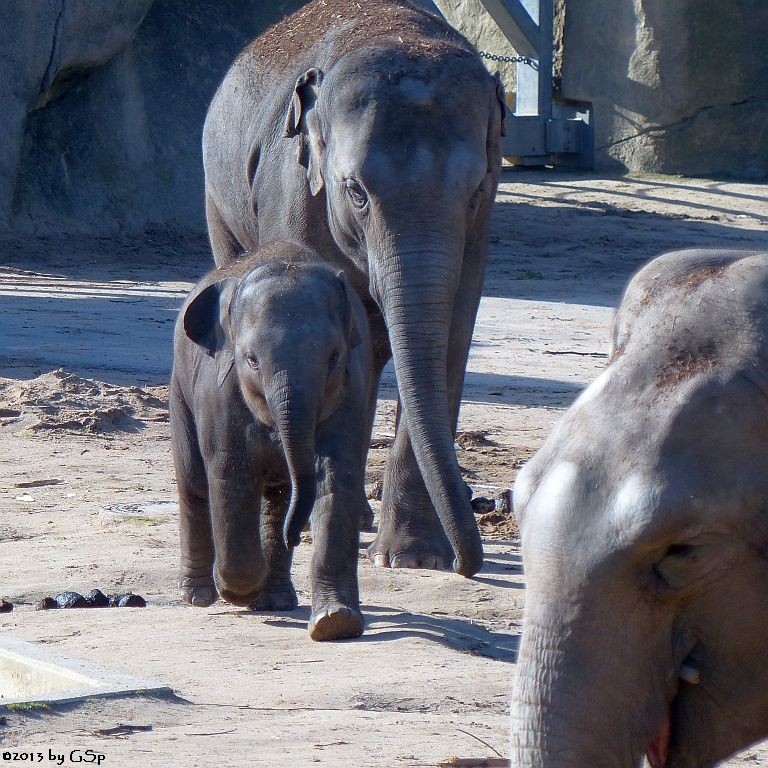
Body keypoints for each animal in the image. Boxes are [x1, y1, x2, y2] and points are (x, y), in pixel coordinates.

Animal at [169, 243, 372, 640]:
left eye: (334, 358)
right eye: (252, 360)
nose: (294, 537)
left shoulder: (353, 389)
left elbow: (336, 480)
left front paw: (335, 623)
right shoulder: (220, 392)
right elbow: (230, 476)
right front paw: (236, 590)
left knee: (279, 497)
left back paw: (276, 599)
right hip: (180, 391)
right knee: (194, 483)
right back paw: (199, 596)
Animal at [202, 0, 510, 576]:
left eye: (475, 190)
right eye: (355, 192)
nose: (469, 562)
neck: (399, 34)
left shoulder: (479, 227)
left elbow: (453, 329)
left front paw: (413, 558)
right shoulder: (293, 192)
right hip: (218, 204)